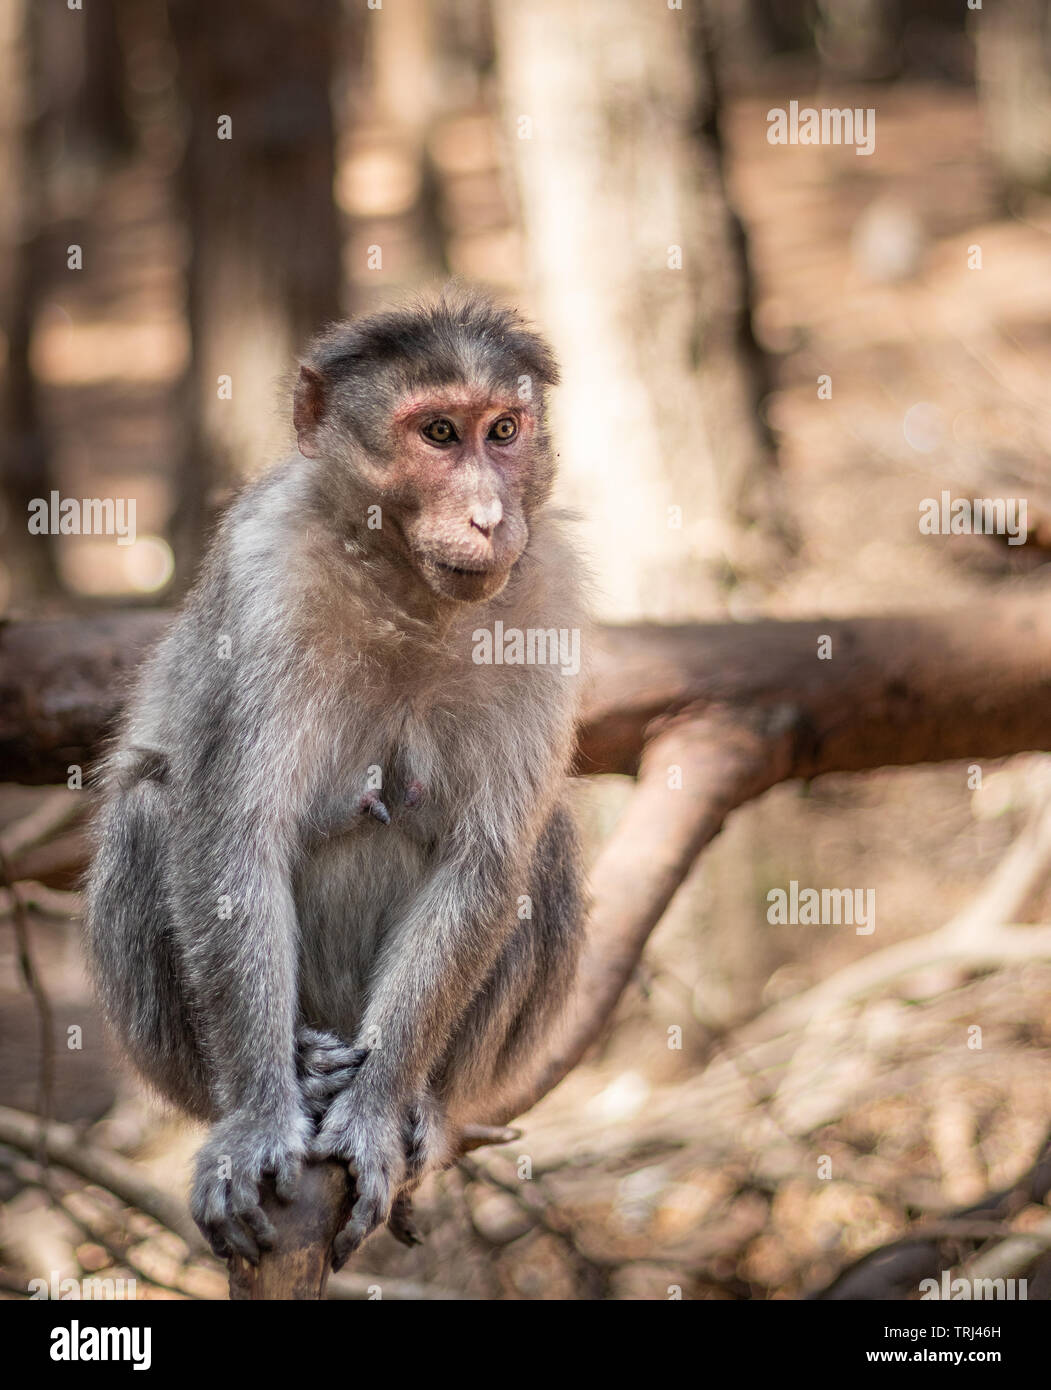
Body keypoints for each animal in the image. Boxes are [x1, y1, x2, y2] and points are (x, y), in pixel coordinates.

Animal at [85, 293, 586, 1273]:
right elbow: (231, 839)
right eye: (438, 433)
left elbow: (483, 861)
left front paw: (376, 1113)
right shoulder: (263, 575)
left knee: (544, 842)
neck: (406, 588)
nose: (487, 516)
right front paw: (256, 1121)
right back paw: (296, 1072)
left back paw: (420, 1105)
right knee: (150, 807)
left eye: (504, 430)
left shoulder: (546, 592)